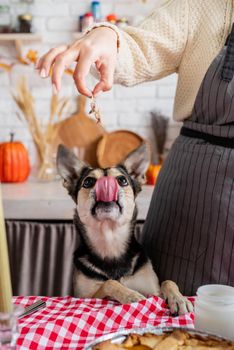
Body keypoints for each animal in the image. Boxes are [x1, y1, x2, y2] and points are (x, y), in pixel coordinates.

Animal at [57, 142, 194, 314]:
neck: (110, 241)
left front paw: (179, 299)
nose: (107, 184)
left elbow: (168, 281)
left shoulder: (153, 291)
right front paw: (131, 295)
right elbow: (110, 283)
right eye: (88, 182)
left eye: (122, 180)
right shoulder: (84, 296)